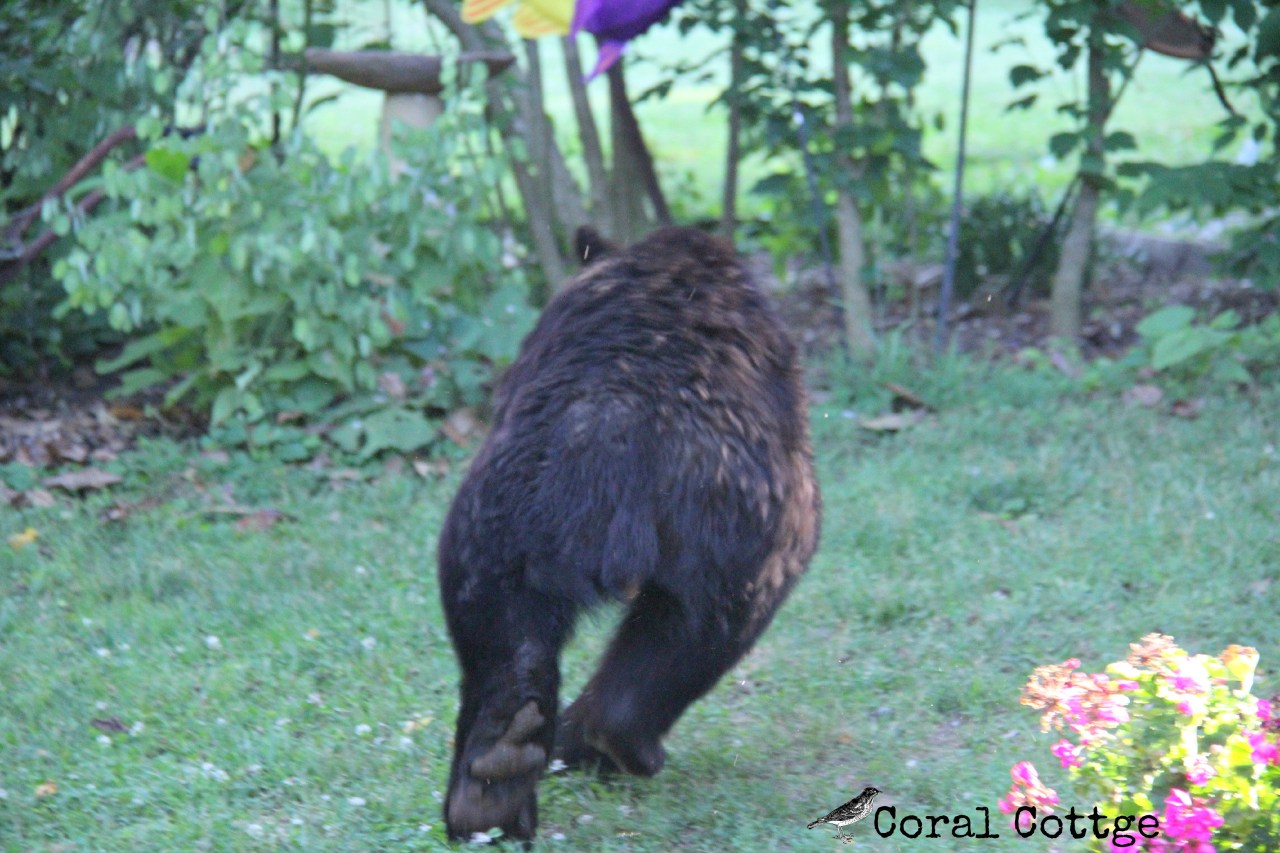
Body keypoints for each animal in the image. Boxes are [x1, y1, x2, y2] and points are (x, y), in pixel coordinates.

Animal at [437, 226, 820, 842]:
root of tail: (618, 447)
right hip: (747, 533)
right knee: (687, 640)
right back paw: (602, 745)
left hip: (498, 524)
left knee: (506, 636)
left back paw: (496, 776)